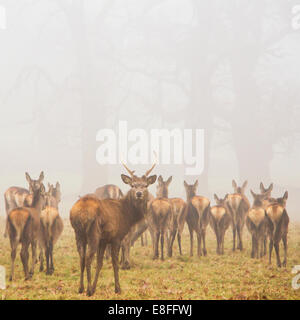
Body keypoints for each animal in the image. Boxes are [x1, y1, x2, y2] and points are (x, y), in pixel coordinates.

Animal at [69, 161, 156, 296]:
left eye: (145, 185)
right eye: (133, 185)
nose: (139, 193)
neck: (127, 215)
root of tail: (81, 212)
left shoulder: (104, 240)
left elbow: (100, 263)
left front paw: (95, 288)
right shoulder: (116, 237)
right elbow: (114, 263)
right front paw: (117, 289)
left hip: (78, 234)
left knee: (82, 258)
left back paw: (81, 288)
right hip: (93, 233)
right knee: (88, 258)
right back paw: (88, 290)